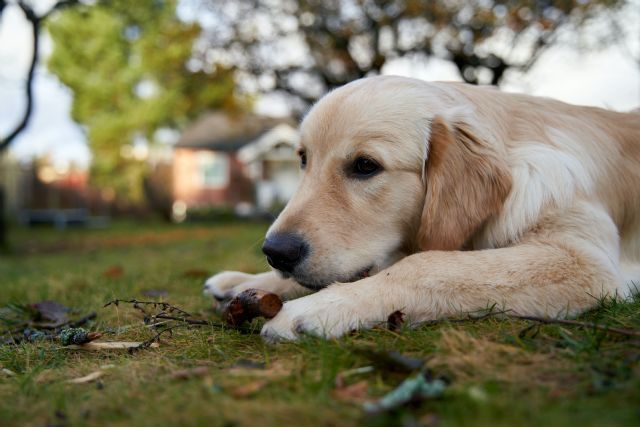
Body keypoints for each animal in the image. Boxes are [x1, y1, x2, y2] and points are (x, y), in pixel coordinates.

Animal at [202, 74, 636, 342]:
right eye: (303, 158)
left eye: (365, 165)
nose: (275, 253)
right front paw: (245, 282)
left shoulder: (583, 261)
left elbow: (427, 265)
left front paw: (319, 308)